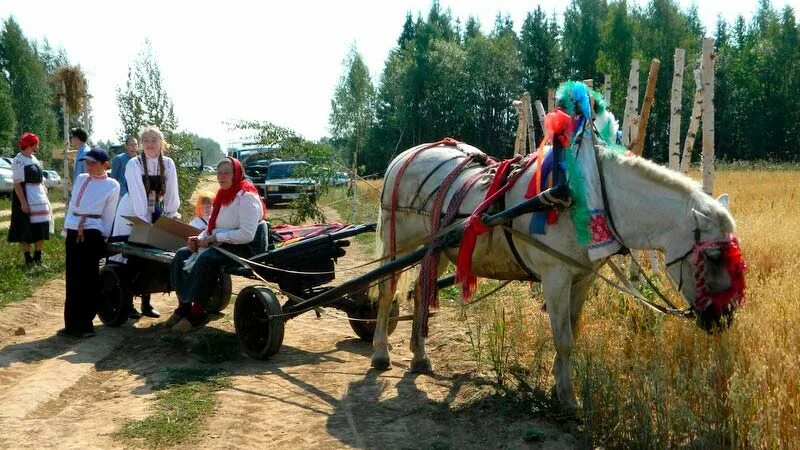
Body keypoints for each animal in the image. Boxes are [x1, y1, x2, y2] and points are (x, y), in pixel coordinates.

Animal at [368, 137, 744, 408]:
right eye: (712, 256)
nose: (723, 318)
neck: (586, 196)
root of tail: (405, 156)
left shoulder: (583, 276)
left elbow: (572, 331)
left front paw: (555, 382)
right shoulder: (556, 276)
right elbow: (562, 338)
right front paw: (566, 397)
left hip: (439, 250)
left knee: (421, 291)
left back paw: (419, 356)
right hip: (398, 243)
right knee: (387, 291)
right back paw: (381, 353)